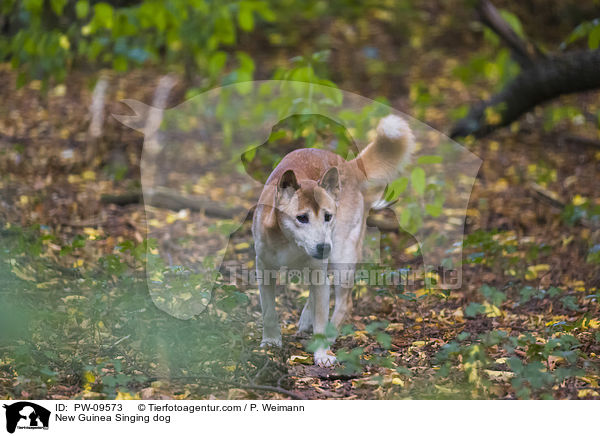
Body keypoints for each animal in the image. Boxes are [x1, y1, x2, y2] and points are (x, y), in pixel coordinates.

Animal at [251, 114, 414, 366]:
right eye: (301, 218)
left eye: (328, 216)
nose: (323, 247)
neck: (290, 244)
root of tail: (349, 166)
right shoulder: (264, 267)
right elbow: (269, 311)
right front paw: (270, 343)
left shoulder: (320, 270)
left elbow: (321, 315)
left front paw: (322, 353)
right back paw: (306, 321)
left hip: (342, 257)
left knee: (343, 303)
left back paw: (328, 335)